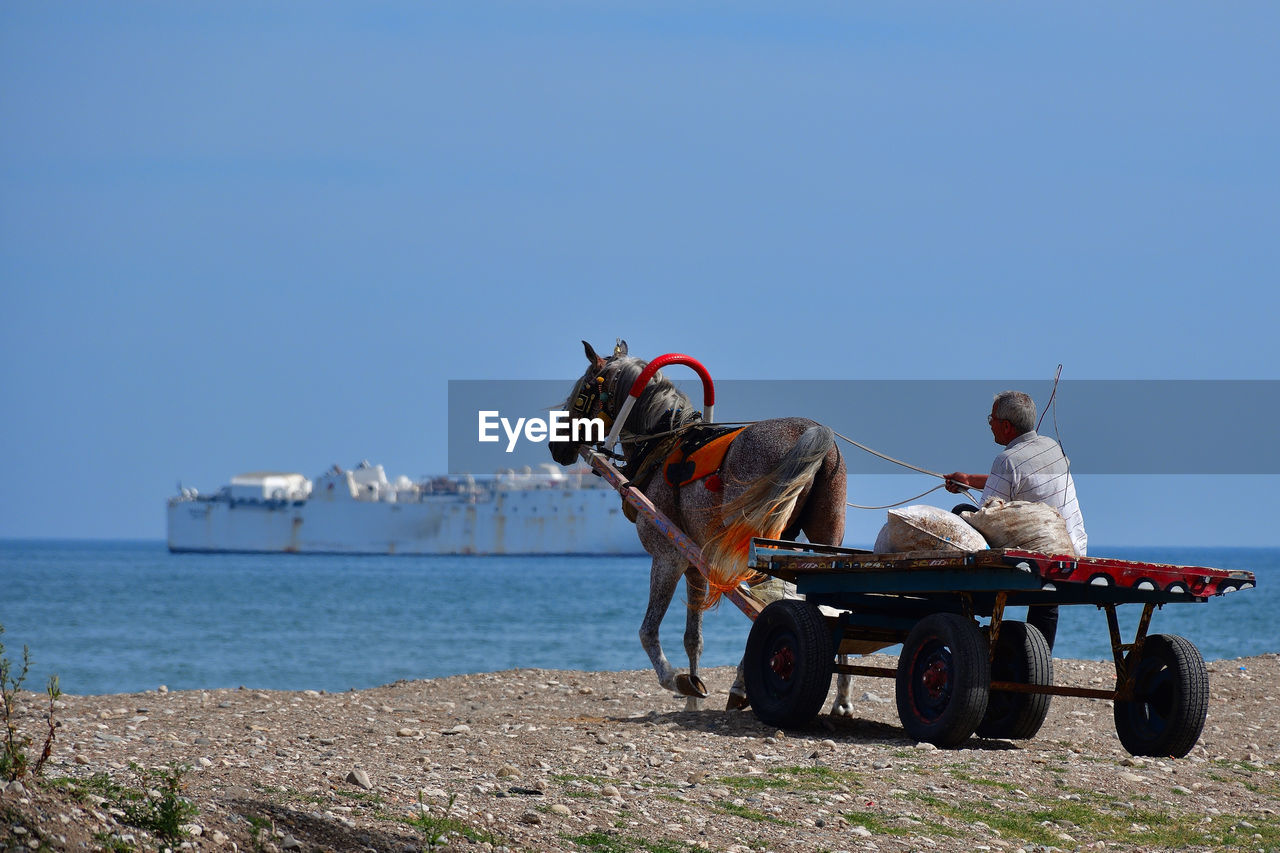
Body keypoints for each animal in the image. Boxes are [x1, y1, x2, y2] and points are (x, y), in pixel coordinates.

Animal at [547, 338, 855, 712]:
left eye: (581, 392)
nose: (555, 445)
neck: (664, 444)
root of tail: (812, 431)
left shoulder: (668, 555)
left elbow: (647, 631)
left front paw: (676, 680)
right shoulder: (696, 563)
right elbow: (693, 637)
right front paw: (692, 699)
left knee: (776, 604)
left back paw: (746, 682)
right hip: (825, 537)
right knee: (834, 605)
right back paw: (841, 696)